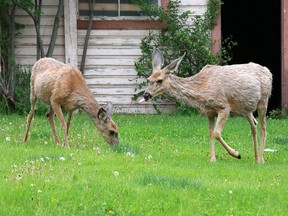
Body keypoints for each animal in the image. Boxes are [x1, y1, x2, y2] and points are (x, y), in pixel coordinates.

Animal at [140, 49, 272, 163]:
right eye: (148, 79)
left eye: (160, 80)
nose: (146, 94)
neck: (201, 88)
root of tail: (268, 71)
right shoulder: (209, 112)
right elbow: (210, 133)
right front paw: (212, 159)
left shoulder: (224, 107)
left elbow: (216, 133)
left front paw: (236, 154)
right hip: (245, 109)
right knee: (254, 126)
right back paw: (256, 157)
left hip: (264, 100)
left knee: (263, 128)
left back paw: (261, 159)